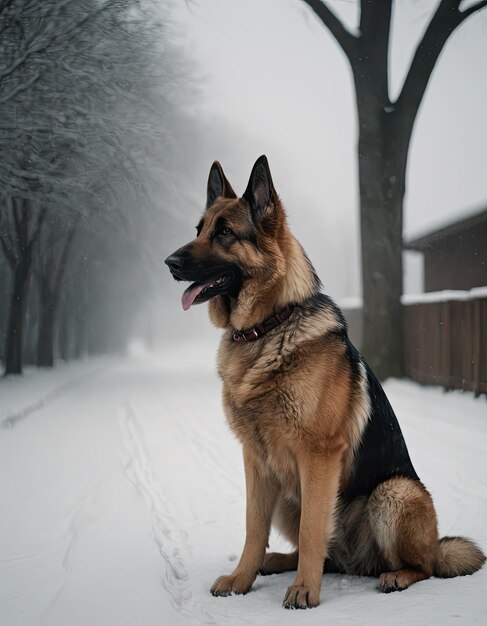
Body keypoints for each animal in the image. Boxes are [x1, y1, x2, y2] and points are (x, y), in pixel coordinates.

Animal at [166, 155, 486, 604]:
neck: (268, 327)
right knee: (322, 552)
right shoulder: (255, 460)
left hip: (393, 493)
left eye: (225, 232)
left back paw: (394, 575)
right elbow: (253, 528)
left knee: (421, 566)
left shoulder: (318, 457)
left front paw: (304, 591)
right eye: (199, 230)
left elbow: (313, 531)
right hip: (288, 496)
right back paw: (277, 561)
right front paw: (242, 578)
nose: (169, 263)